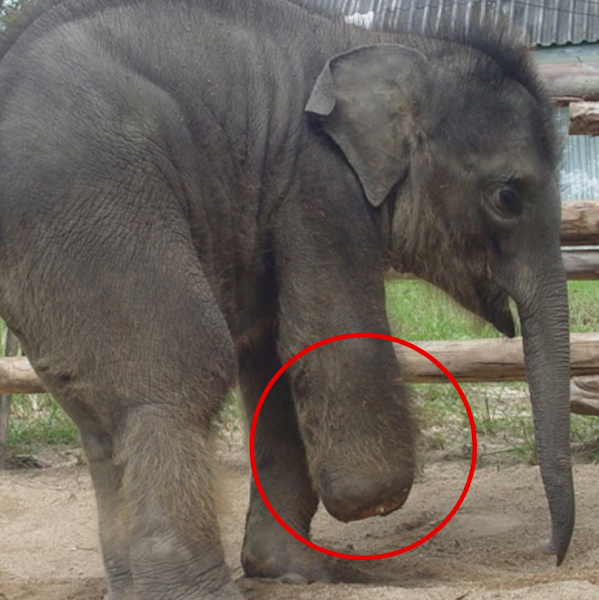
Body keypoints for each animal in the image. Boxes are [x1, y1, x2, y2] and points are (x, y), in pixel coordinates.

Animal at [0, 0, 573, 598]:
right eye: (507, 196)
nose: (548, 554)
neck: (390, 43)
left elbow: (275, 364)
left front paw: (294, 571)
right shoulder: (318, 181)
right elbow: (327, 340)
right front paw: (364, 510)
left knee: (101, 417)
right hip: (96, 208)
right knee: (176, 378)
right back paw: (201, 592)